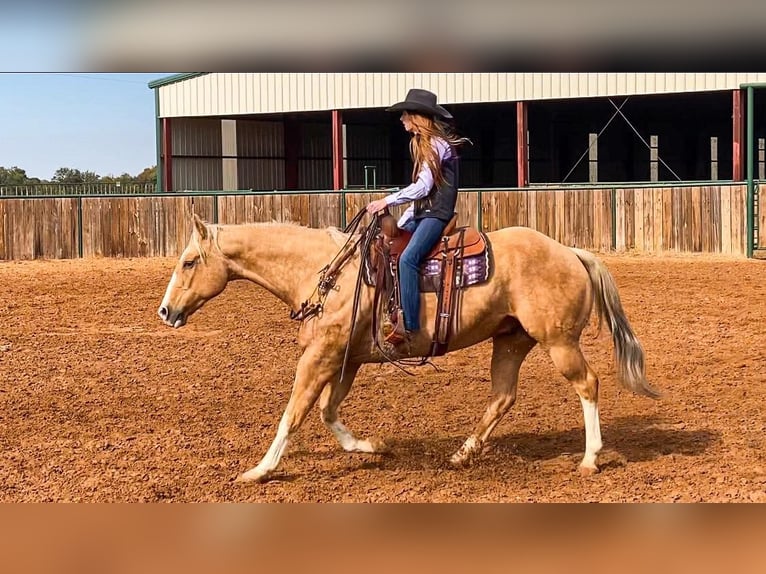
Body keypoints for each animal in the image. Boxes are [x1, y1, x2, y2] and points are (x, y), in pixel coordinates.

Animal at [158, 214, 660, 484]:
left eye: (189, 261)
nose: (165, 311)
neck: (325, 272)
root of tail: (570, 251)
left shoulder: (321, 356)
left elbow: (295, 412)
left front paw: (260, 470)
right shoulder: (346, 359)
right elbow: (326, 411)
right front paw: (371, 446)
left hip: (559, 341)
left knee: (588, 384)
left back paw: (590, 459)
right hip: (511, 341)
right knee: (502, 397)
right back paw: (462, 454)